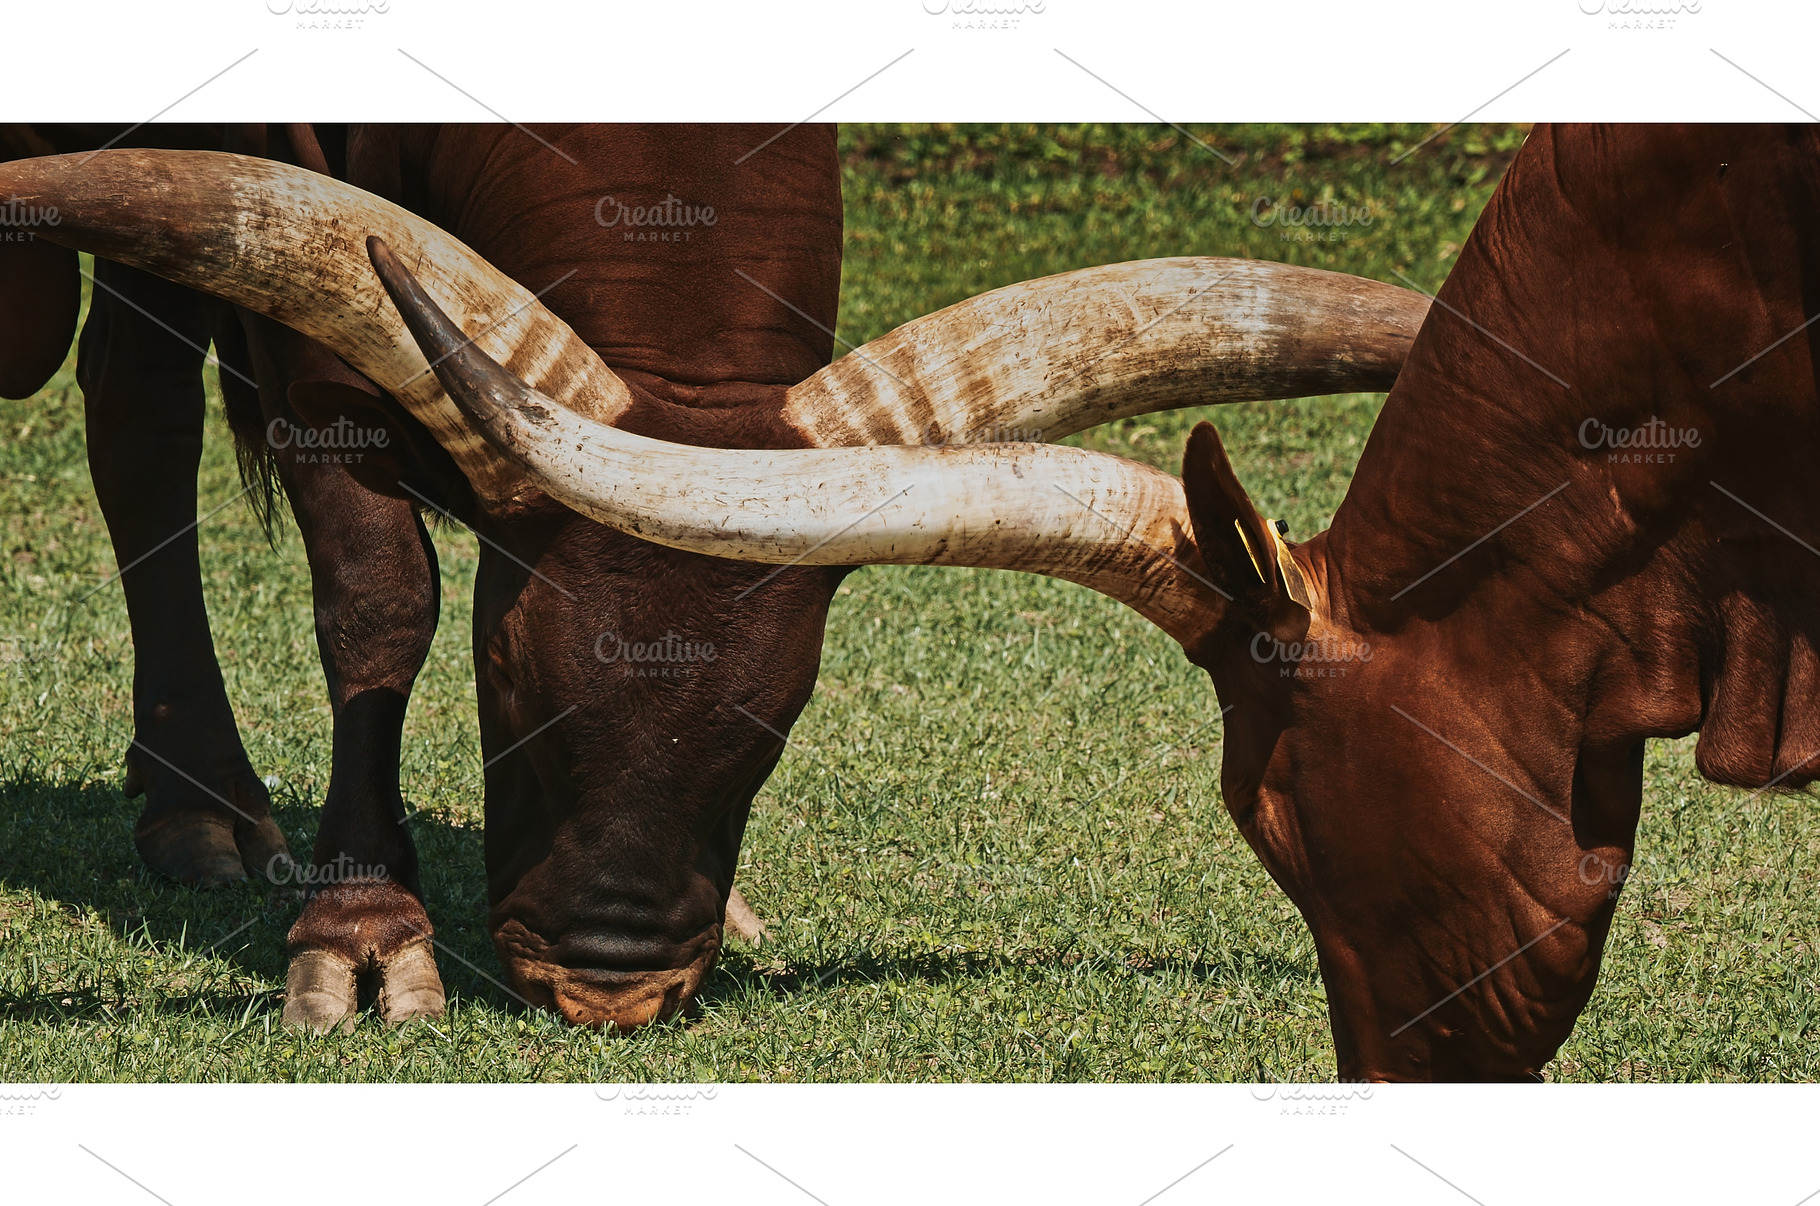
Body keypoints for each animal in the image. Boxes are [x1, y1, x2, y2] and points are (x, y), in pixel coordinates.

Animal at [0, 132, 1429, 1033]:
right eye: (503, 674)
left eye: (786, 706)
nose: (608, 990)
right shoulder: (323, 352)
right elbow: (376, 595)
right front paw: (359, 936)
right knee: (139, 412)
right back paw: (201, 807)